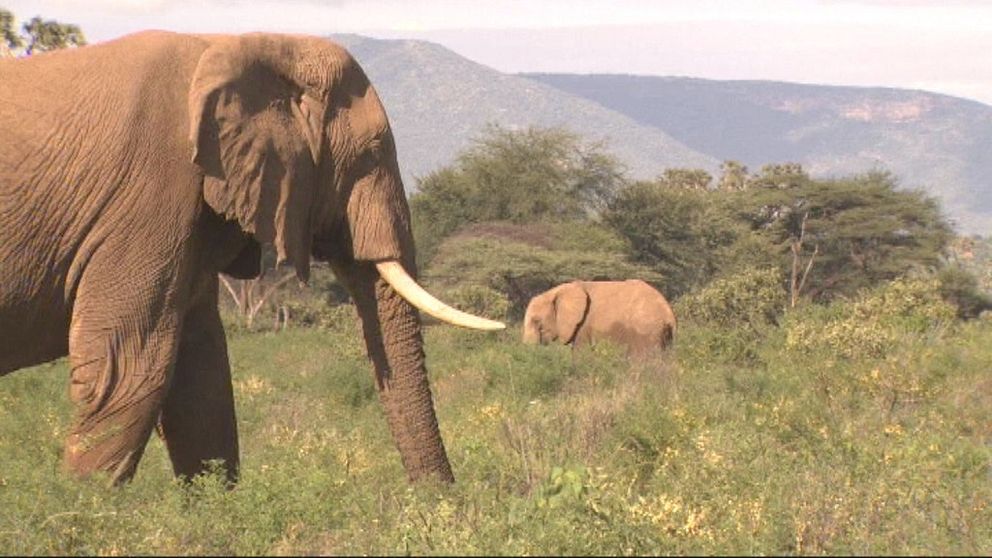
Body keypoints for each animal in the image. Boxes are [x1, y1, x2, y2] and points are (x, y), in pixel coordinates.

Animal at [0, 31, 504, 486]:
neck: (247, 45)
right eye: (373, 152)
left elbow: (202, 377)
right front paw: (84, 514)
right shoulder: (149, 196)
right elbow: (128, 370)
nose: (444, 502)